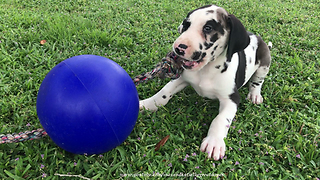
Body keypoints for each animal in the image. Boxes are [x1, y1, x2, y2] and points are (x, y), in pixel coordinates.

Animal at [139, 4, 272, 160]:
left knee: (258, 81)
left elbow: (221, 119)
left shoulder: (231, 98)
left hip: (264, 63)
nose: (178, 48)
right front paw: (147, 105)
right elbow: (163, 94)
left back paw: (255, 94)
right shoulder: (181, 78)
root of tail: (256, 37)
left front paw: (214, 141)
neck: (206, 70)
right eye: (186, 25)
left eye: (208, 28)